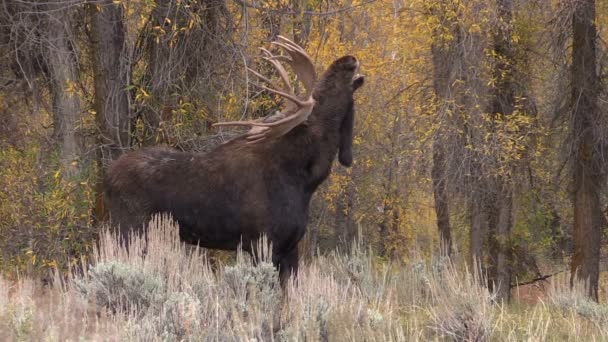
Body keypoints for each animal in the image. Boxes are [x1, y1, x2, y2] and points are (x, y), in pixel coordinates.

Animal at [103, 36, 366, 284]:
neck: (305, 180)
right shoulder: (262, 242)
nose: (348, 59)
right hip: (129, 228)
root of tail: (107, 177)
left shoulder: (290, 246)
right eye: (321, 93)